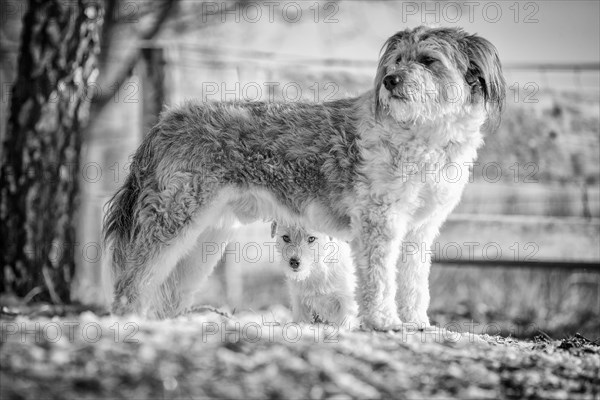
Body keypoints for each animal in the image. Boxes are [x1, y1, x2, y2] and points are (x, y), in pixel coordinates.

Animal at [103, 26, 502, 330]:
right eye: (396, 60)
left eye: (429, 60)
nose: (390, 81)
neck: (422, 132)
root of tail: (166, 120)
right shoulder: (379, 223)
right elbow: (378, 281)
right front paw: (384, 322)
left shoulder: (419, 231)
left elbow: (414, 284)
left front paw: (417, 323)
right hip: (171, 221)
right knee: (132, 281)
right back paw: (127, 322)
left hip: (204, 239)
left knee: (167, 292)